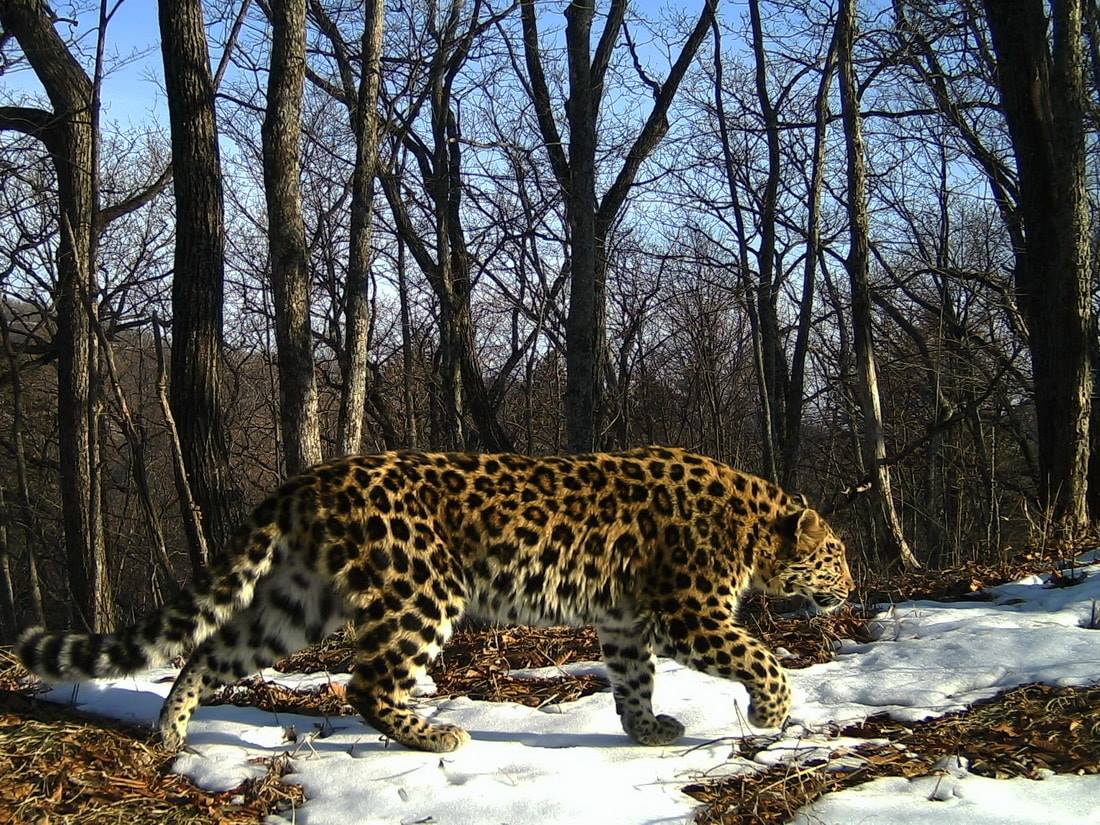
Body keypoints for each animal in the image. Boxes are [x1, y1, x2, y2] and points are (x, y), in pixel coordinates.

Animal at [18, 446, 853, 753]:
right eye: (837, 554)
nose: (850, 584)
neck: (754, 525)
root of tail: (309, 478)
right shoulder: (689, 613)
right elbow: (760, 655)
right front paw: (774, 712)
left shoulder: (623, 622)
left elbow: (632, 680)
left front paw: (647, 730)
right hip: (425, 588)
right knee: (366, 683)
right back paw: (434, 735)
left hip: (298, 602)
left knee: (209, 651)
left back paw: (170, 730)